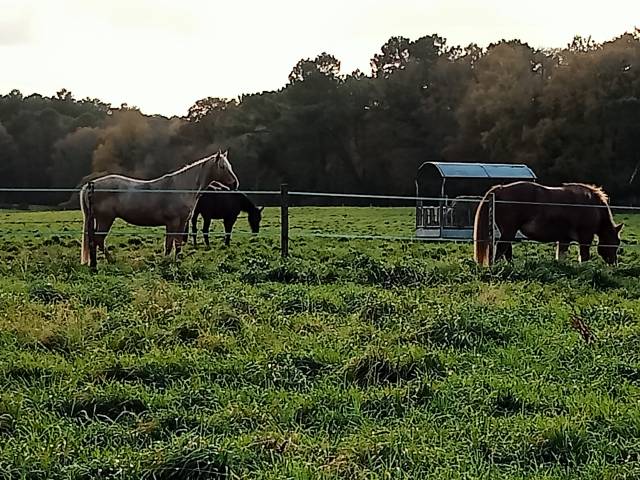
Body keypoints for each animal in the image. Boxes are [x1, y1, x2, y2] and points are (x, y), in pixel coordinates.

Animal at [80, 150, 239, 267]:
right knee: (99, 240)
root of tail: (91, 185)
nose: (235, 184)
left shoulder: (181, 223)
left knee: (95, 240)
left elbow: (178, 244)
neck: (180, 188)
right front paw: (166, 262)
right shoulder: (172, 222)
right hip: (106, 219)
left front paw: (177, 261)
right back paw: (109, 261)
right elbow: (169, 244)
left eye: (230, 166)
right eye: (222, 167)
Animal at [473, 181, 623, 266]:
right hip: (509, 230)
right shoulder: (585, 237)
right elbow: (584, 256)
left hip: (508, 231)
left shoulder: (564, 239)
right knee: (502, 248)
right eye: (614, 243)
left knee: (506, 249)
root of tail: (500, 189)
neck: (593, 206)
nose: (613, 264)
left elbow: (561, 256)